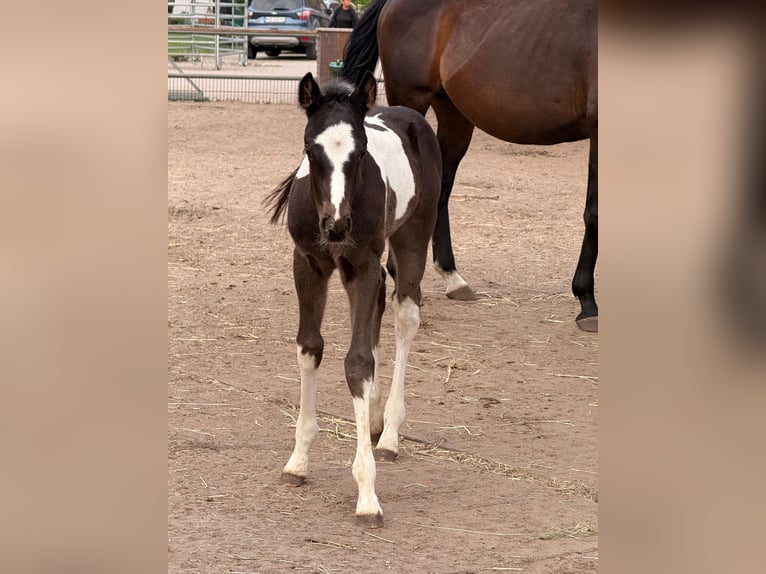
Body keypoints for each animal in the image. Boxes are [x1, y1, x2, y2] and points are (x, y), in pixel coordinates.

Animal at [264, 71, 442, 527]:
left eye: (361, 152)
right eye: (310, 149)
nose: (337, 225)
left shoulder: (360, 265)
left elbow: (358, 361)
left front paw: (367, 494)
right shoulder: (309, 263)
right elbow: (310, 347)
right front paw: (298, 461)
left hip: (413, 236)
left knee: (405, 316)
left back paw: (390, 432)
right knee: (378, 305)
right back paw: (375, 419)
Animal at [342, 0, 598, 332]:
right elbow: (594, 213)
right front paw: (587, 303)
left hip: (454, 116)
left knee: (440, 189)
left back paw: (452, 277)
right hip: (411, 101)